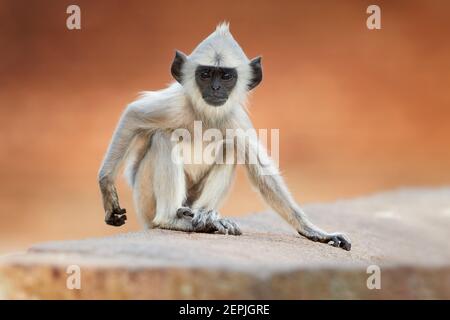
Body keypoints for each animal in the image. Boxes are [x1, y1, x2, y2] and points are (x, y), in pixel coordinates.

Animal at [97, 23, 352, 251]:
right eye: (206, 74)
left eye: (226, 76)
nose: (216, 88)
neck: (206, 115)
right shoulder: (175, 106)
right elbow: (133, 116)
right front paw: (108, 190)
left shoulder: (235, 120)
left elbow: (262, 172)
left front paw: (314, 232)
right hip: (145, 202)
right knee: (163, 138)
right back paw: (171, 219)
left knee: (230, 148)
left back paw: (206, 217)